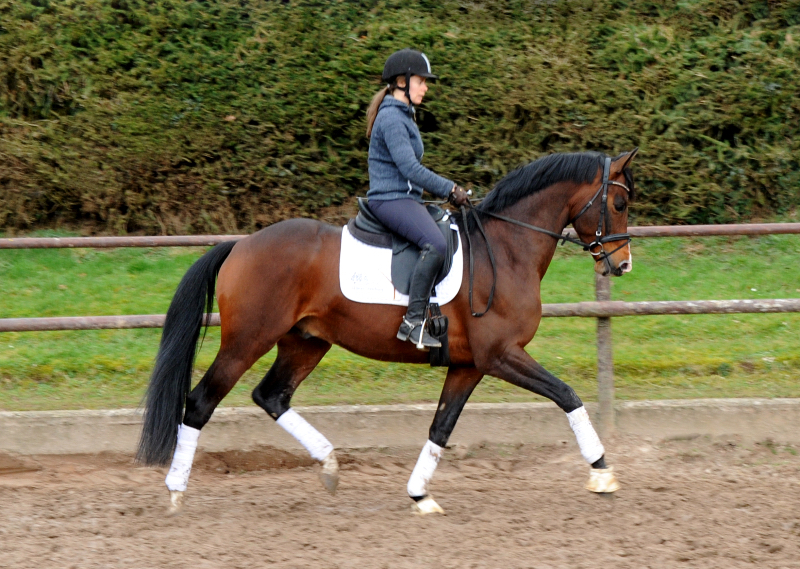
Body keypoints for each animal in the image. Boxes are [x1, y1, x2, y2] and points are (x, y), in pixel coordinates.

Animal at [138, 149, 636, 512]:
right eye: (619, 203)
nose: (623, 264)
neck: (506, 248)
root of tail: (241, 245)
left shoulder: (469, 365)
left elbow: (441, 427)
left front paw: (420, 494)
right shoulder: (500, 355)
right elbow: (567, 395)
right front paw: (602, 472)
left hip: (306, 342)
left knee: (272, 395)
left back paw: (330, 465)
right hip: (247, 341)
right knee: (201, 402)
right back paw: (176, 490)